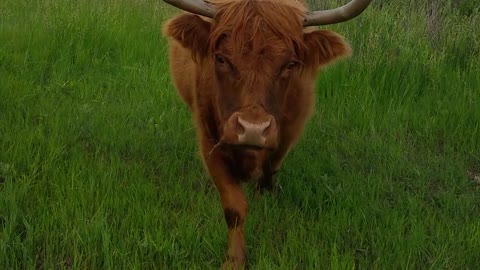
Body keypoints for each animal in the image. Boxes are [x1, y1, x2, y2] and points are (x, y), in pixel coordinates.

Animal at [161, 0, 372, 268]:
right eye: (220, 58)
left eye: (290, 64)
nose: (252, 129)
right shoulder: (209, 140)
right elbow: (234, 206)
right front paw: (234, 259)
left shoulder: (288, 133)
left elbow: (272, 166)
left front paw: (266, 194)